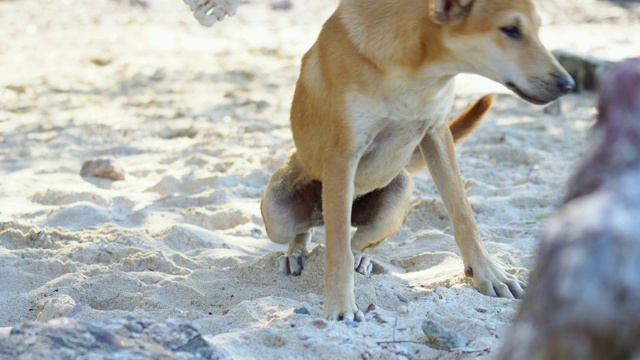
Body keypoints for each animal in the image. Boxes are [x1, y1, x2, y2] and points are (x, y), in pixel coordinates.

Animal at [260, 0, 576, 320]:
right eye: (510, 30)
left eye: (538, 28)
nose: (568, 84)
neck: (418, 70)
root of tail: (320, 214)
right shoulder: (342, 154)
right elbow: (336, 250)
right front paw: (340, 307)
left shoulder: (437, 133)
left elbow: (464, 215)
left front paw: (489, 273)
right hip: (278, 214)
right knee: (307, 232)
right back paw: (295, 254)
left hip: (396, 199)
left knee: (358, 240)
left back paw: (361, 258)